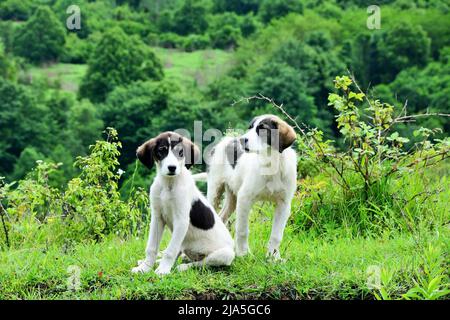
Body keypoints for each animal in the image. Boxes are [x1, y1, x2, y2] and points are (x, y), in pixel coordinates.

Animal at [131, 132, 234, 276]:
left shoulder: (181, 221)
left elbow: (170, 251)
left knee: (201, 263)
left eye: (180, 152)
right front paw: (145, 268)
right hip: (183, 241)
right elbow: (151, 247)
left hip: (226, 254)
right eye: (161, 151)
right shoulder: (157, 218)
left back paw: (183, 267)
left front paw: (163, 270)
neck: (168, 184)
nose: (172, 168)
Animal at [206, 115, 298, 260]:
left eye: (263, 129)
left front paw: (273, 257)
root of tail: (225, 140)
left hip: (233, 197)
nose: (242, 140)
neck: (271, 162)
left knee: (221, 217)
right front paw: (244, 254)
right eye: (250, 128)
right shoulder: (245, 198)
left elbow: (277, 235)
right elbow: (242, 230)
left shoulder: (284, 204)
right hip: (215, 190)